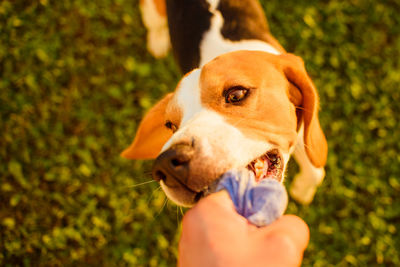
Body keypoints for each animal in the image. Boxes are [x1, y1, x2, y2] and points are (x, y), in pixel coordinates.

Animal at [122, 0, 328, 207]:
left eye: (236, 95)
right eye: (170, 125)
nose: (166, 163)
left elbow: (316, 170)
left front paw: (303, 189)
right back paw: (158, 40)